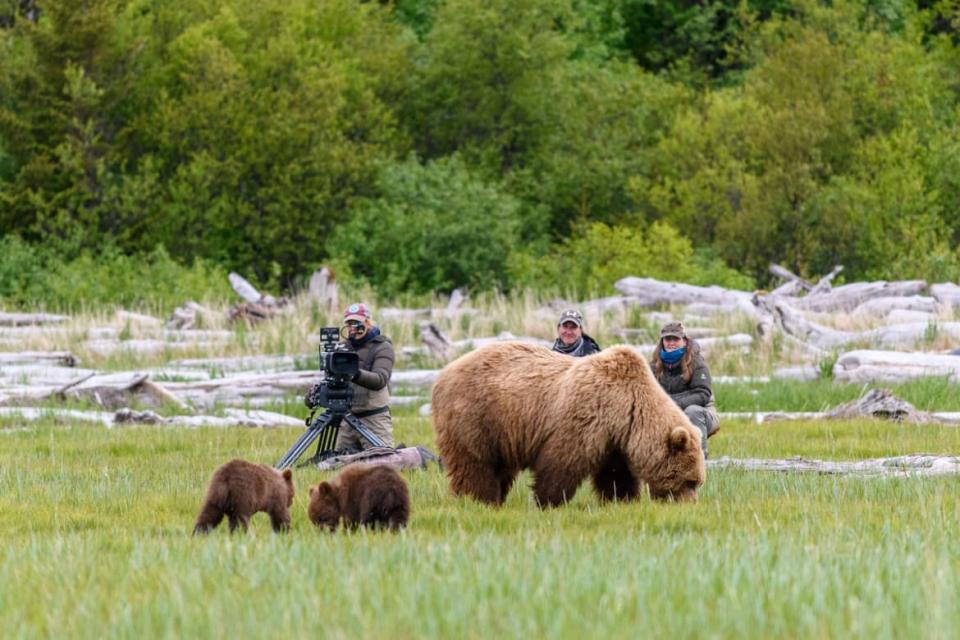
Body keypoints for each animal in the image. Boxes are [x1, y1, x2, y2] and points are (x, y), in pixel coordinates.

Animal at [434, 342, 704, 508]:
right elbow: (562, 463)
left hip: (501, 431)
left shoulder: (614, 439)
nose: (691, 504)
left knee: (500, 468)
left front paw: (622, 499)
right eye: (689, 481)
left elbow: (616, 474)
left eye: (697, 482)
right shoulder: (586, 418)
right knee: (475, 462)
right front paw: (547, 501)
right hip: (477, 415)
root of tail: (443, 374)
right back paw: (478, 499)